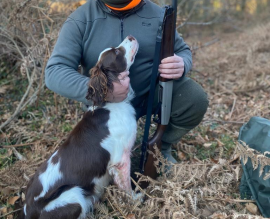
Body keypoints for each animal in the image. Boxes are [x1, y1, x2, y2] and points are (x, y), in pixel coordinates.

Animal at [21, 35, 138, 218]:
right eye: (117, 52)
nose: (130, 36)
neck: (110, 105)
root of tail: (28, 210)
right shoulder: (121, 160)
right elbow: (126, 186)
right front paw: (136, 200)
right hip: (74, 195)